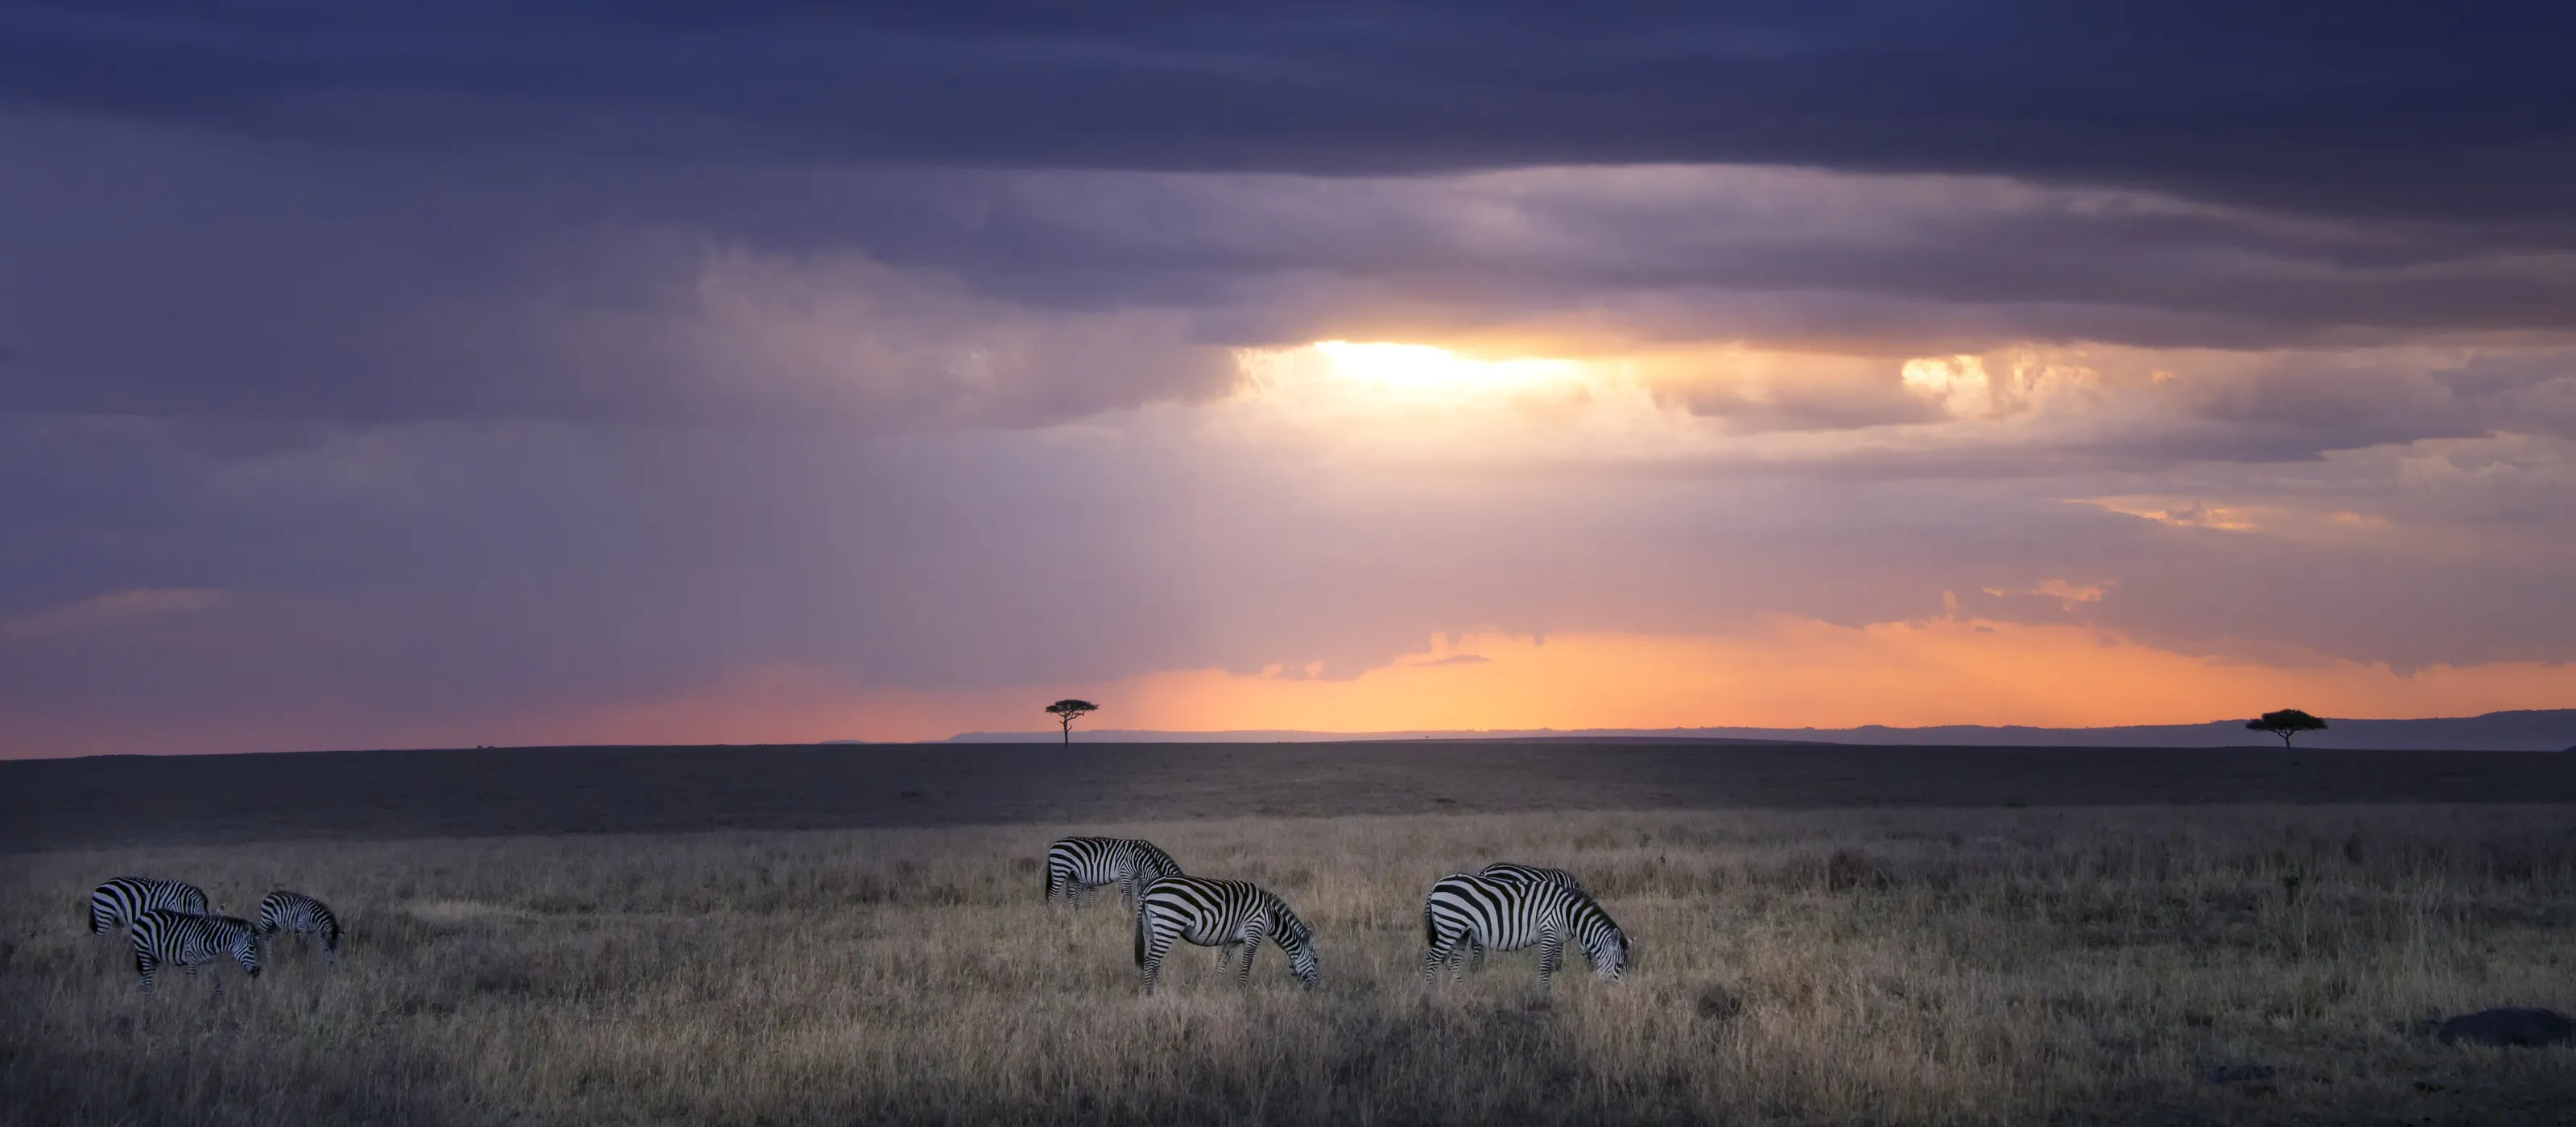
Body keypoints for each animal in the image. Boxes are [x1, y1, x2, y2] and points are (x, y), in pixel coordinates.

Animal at [130, 909, 261, 994]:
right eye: (251, 948)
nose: (257, 972)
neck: (212, 940)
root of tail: (145, 914)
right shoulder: (192, 959)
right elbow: (192, 984)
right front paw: (193, 1004)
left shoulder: (213, 962)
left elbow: (217, 984)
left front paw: (220, 1007)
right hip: (144, 952)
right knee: (146, 981)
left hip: (155, 957)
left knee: (146, 980)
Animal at [1045, 836, 1184, 911]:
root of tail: (1053, 845)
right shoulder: (1128, 873)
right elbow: (1131, 895)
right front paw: (1130, 913)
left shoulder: (1137, 877)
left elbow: (1129, 894)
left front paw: (1121, 909)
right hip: (1061, 869)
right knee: (1052, 894)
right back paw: (1052, 915)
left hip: (1071, 875)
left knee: (1071, 895)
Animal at [1134, 876, 1319, 993]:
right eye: (1316, 960)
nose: (1315, 988)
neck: (1271, 915)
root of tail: (1149, 887)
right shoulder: (1254, 931)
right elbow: (1246, 965)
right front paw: (1244, 993)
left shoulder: (1232, 940)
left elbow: (1221, 966)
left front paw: (1214, 989)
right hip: (1169, 924)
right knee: (1151, 959)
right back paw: (1148, 994)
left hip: (1151, 929)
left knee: (1155, 960)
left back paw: (1157, 989)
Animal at [1423, 872, 1628, 989]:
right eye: (1619, 965)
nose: (1624, 993)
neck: (1568, 913)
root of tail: (1436, 885)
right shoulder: (1548, 931)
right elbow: (1545, 967)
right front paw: (1543, 995)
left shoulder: (1555, 937)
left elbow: (1551, 966)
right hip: (1450, 926)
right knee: (1432, 959)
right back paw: (1428, 993)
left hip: (1461, 932)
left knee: (1455, 962)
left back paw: (1461, 991)